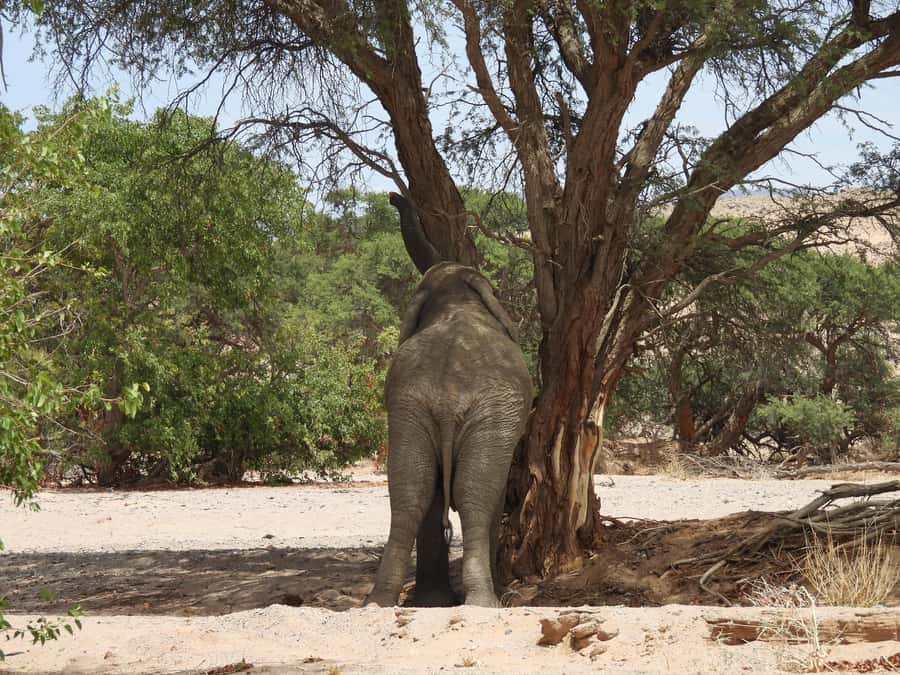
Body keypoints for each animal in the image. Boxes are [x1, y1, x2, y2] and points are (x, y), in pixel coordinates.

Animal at [366, 193, 532, 608]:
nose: (394, 196)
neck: (456, 293)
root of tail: (447, 396)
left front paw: (432, 601)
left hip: (412, 408)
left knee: (410, 493)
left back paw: (382, 601)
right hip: (485, 412)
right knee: (475, 495)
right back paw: (485, 603)